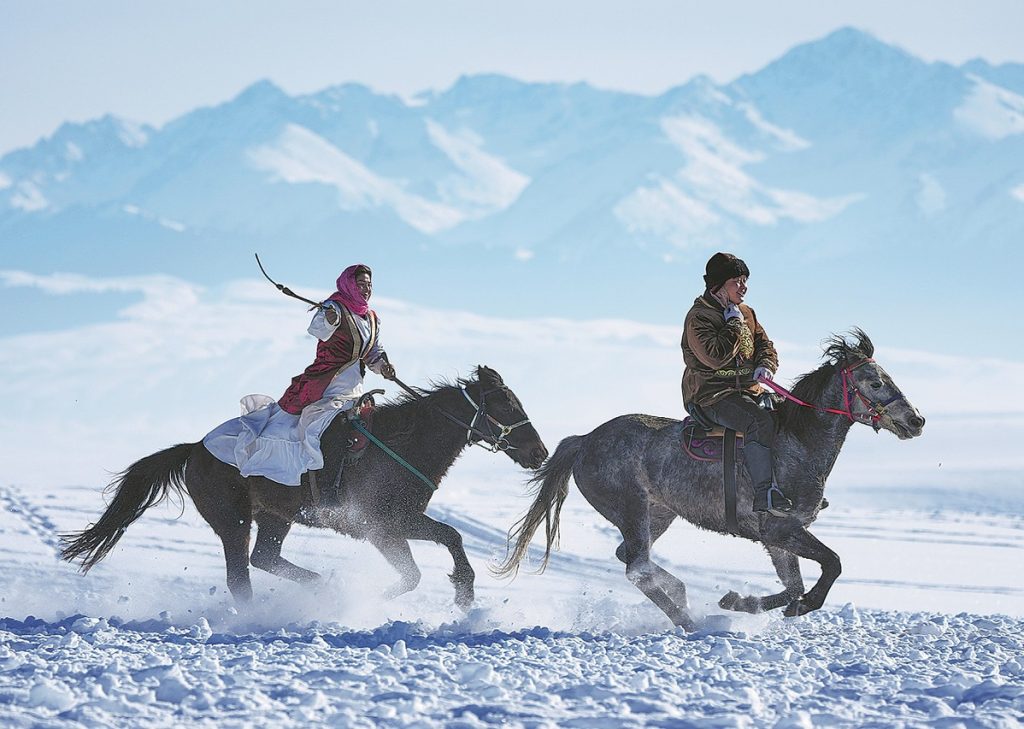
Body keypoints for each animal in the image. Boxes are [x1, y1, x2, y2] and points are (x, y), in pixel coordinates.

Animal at [61, 366, 548, 609]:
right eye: (507, 403)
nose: (539, 452)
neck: (403, 441)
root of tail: (194, 449)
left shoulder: (396, 524)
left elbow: (439, 549)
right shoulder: (384, 526)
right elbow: (436, 550)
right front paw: (459, 593)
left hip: (275, 518)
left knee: (264, 558)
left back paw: (318, 585)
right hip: (233, 521)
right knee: (240, 576)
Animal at [496, 330, 925, 630]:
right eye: (875, 382)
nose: (916, 420)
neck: (798, 444)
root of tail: (585, 440)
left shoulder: (777, 537)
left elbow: (793, 585)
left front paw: (737, 602)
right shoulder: (782, 530)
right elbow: (831, 565)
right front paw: (798, 607)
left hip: (658, 515)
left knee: (631, 559)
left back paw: (686, 600)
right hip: (632, 509)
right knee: (637, 567)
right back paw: (689, 620)